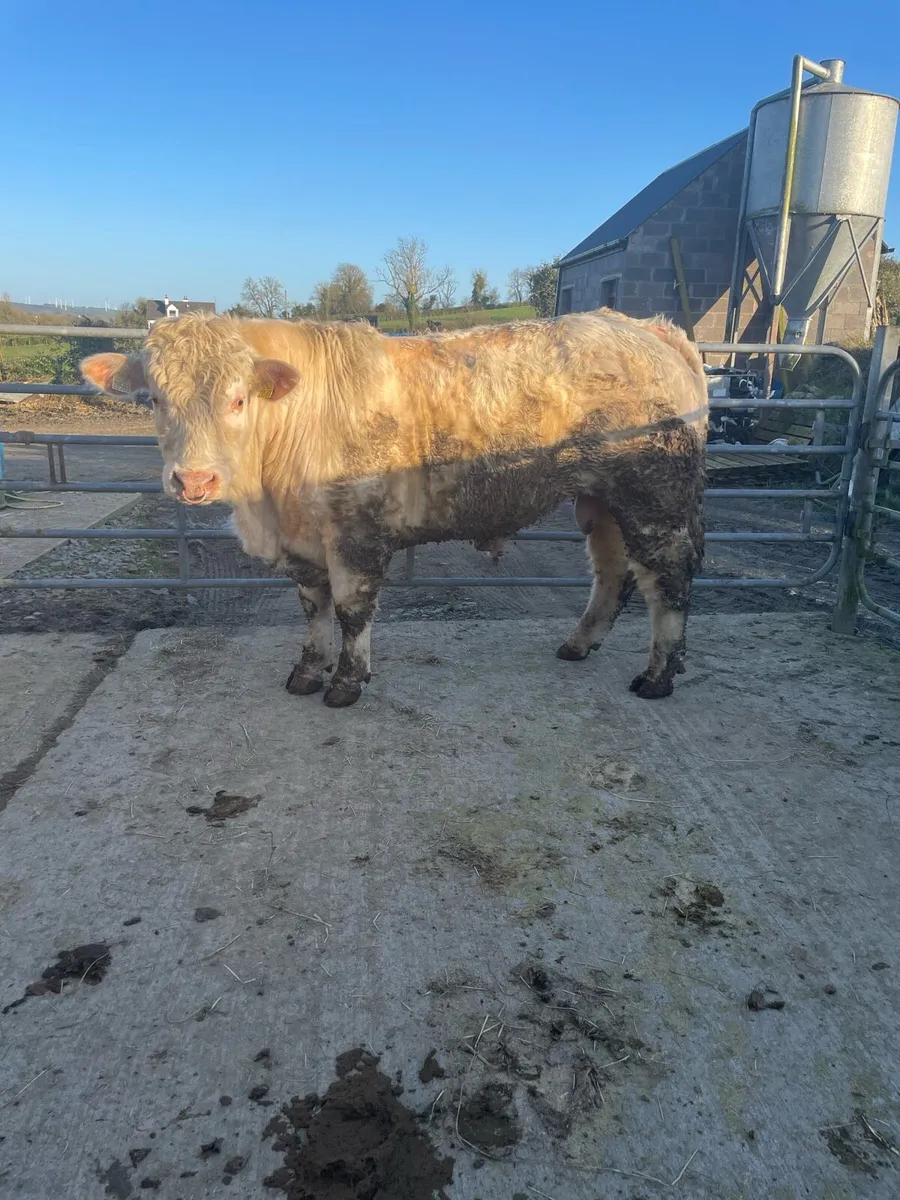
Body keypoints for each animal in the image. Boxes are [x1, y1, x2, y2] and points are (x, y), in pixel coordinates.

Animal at [81, 311, 707, 707]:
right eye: (153, 399)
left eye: (238, 399)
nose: (194, 479)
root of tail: (646, 328)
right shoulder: (303, 542)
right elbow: (313, 609)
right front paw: (306, 672)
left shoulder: (355, 531)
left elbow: (352, 610)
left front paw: (346, 683)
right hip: (601, 498)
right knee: (613, 573)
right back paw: (579, 644)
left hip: (654, 497)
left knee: (669, 579)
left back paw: (658, 674)